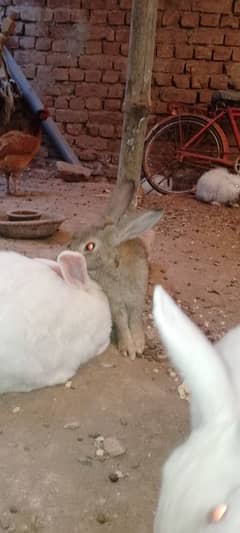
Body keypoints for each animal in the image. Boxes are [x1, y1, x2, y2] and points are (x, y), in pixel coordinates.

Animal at [69, 181, 163, 360]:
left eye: (90, 246)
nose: (67, 251)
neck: (113, 264)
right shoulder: (115, 302)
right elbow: (122, 323)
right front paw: (128, 349)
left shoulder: (136, 299)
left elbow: (134, 320)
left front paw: (139, 345)